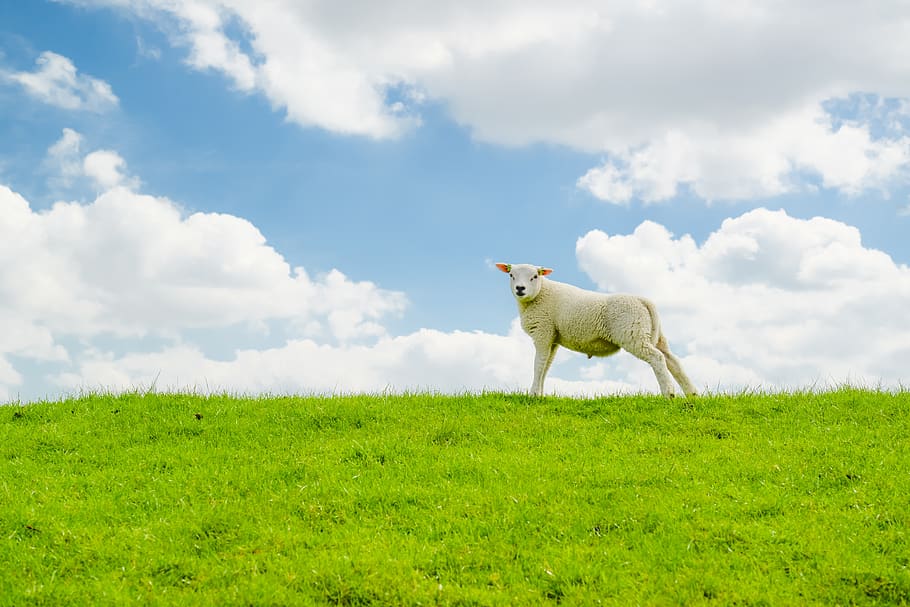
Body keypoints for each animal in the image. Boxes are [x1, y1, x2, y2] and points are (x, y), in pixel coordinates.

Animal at [495, 263, 697, 398]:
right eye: (511, 275)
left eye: (535, 277)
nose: (520, 288)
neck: (540, 295)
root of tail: (643, 301)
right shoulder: (552, 336)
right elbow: (546, 365)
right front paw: (541, 393)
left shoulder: (543, 332)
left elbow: (538, 364)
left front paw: (533, 394)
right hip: (652, 334)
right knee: (673, 361)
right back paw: (692, 394)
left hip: (632, 333)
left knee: (657, 358)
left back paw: (669, 394)